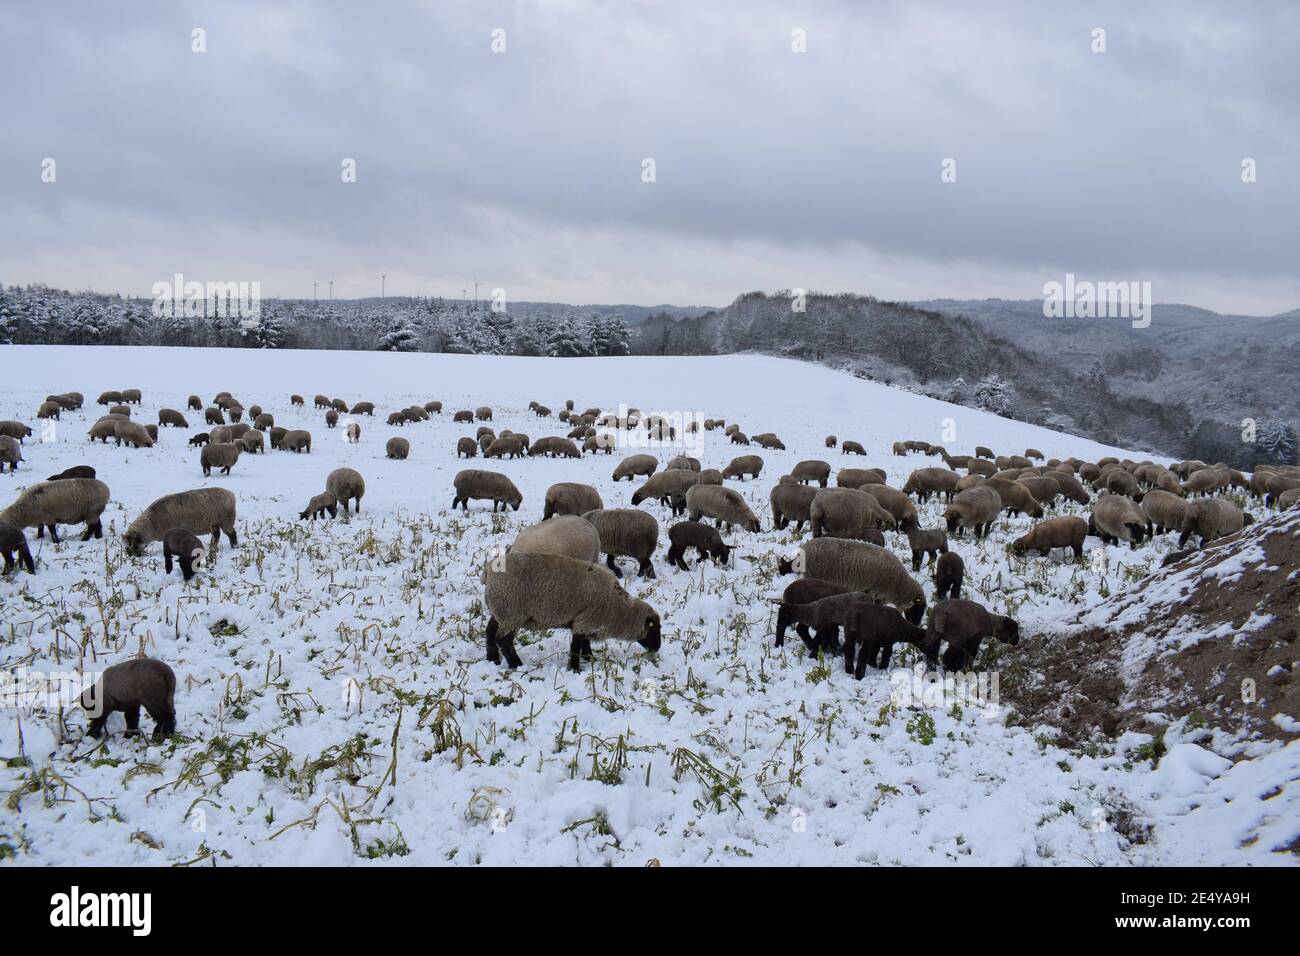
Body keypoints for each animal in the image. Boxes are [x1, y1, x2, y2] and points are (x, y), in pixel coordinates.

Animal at [483, 548, 660, 671]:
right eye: (653, 628)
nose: (657, 648)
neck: (617, 607)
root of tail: (489, 573)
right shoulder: (585, 621)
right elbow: (575, 648)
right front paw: (575, 669)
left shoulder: (586, 622)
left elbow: (585, 645)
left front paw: (590, 659)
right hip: (511, 612)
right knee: (503, 640)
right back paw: (517, 665)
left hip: (500, 611)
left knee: (490, 631)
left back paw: (493, 659)